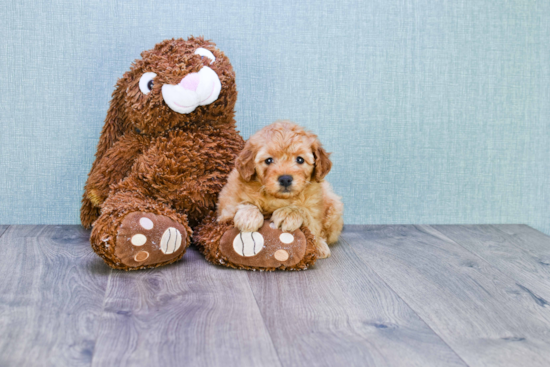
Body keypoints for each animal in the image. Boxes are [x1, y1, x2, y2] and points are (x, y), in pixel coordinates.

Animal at [217, 121, 342, 258]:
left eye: (300, 159)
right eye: (268, 160)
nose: (285, 179)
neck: (278, 198)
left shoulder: (314, 208)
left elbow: (309, 219)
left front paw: (288, 213)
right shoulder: (227, 202)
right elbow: (239, 205)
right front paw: (248, 215)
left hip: (334, 207)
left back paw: (320, 246)